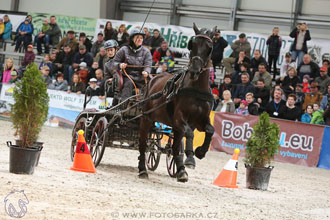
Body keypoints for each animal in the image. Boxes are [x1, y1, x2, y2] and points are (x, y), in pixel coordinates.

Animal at [138, 22, 215, 182]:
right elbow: (190, 134)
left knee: (174, 148)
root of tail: (152, 79)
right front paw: (190, 158)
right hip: (146, 118)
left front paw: (200, 152)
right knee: (143, 144)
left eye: (209, 48)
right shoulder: (179, 119)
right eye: (192, 44)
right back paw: (142, 169)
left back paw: (180, 171)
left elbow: (210, 130)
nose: (194, 70)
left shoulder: (200, 120)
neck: (196, 88)